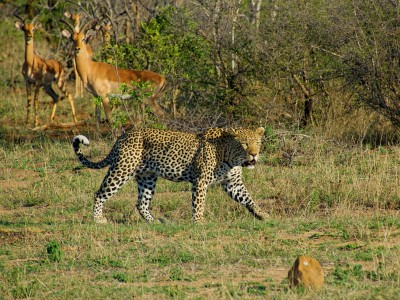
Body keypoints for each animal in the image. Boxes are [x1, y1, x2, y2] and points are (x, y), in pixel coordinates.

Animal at [71, 126, 268, 223]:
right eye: (244, 144)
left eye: (258, 143)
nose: (254, 154)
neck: (230, 156)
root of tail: (123, 136)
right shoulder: (201, 181)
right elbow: (199, 203)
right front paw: (199, 222)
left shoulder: (233, 183)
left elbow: (248, 198)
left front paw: (262, 215)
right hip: (121, 170)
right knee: (100, 194)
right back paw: (98, 219)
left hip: (147, 177)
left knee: (141, 203)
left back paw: (155, 222)